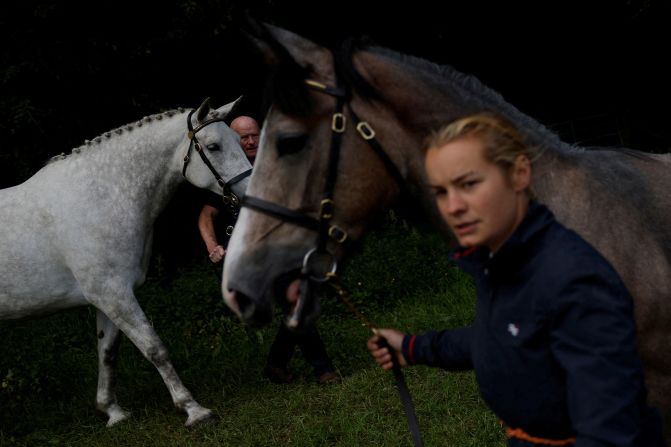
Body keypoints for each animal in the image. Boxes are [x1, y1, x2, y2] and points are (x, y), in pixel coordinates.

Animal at [0, 97, 252, 427]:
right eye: (213, 146)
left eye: (238, 139)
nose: (251, 192)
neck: (100, 197)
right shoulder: (114, 295)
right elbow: (155, 348)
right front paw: (194, 410)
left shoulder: (110, 298)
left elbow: (107, 353)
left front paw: (112, 412)